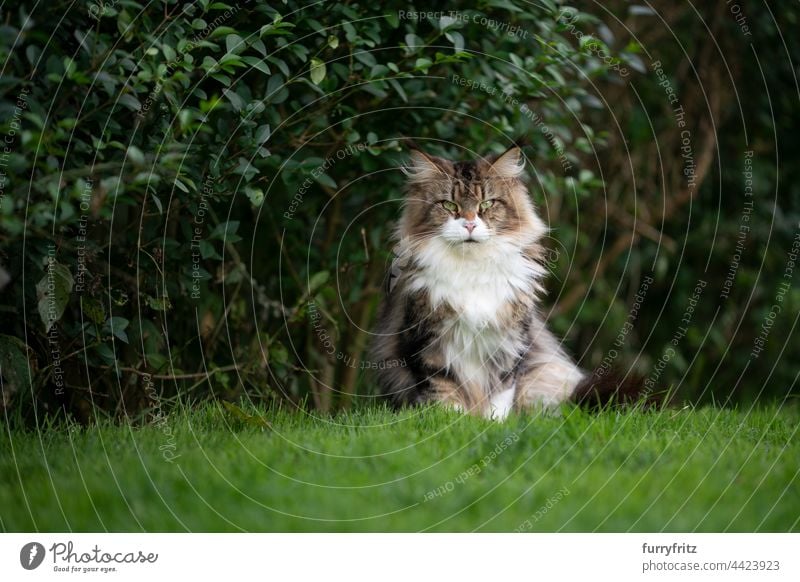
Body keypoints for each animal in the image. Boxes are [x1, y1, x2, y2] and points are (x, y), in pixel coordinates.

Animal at [372, 144, 648, 422]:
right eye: (449, 205)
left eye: (487, 204)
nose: (469, 224)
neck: (472, 270)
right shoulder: (426, 345)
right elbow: (444, 393)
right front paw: (453, 423)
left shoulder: (510, 340)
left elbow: (501, 392)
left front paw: (495, 424)